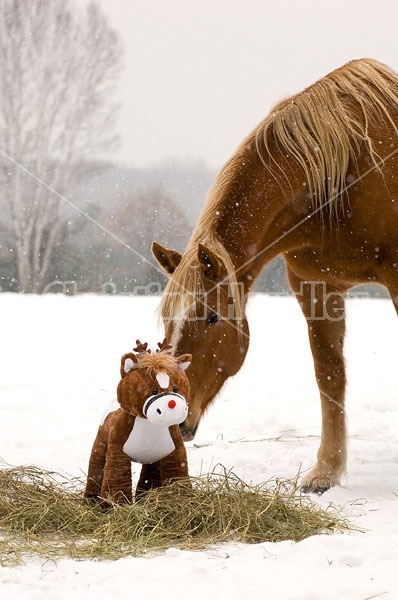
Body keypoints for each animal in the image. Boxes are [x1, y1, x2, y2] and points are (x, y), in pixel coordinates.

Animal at [151, 59, 396, 492]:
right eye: (166, 321)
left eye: (212, 317)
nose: (172, 414)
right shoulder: (315, 286)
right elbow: (329, 375)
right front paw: (325, 472)